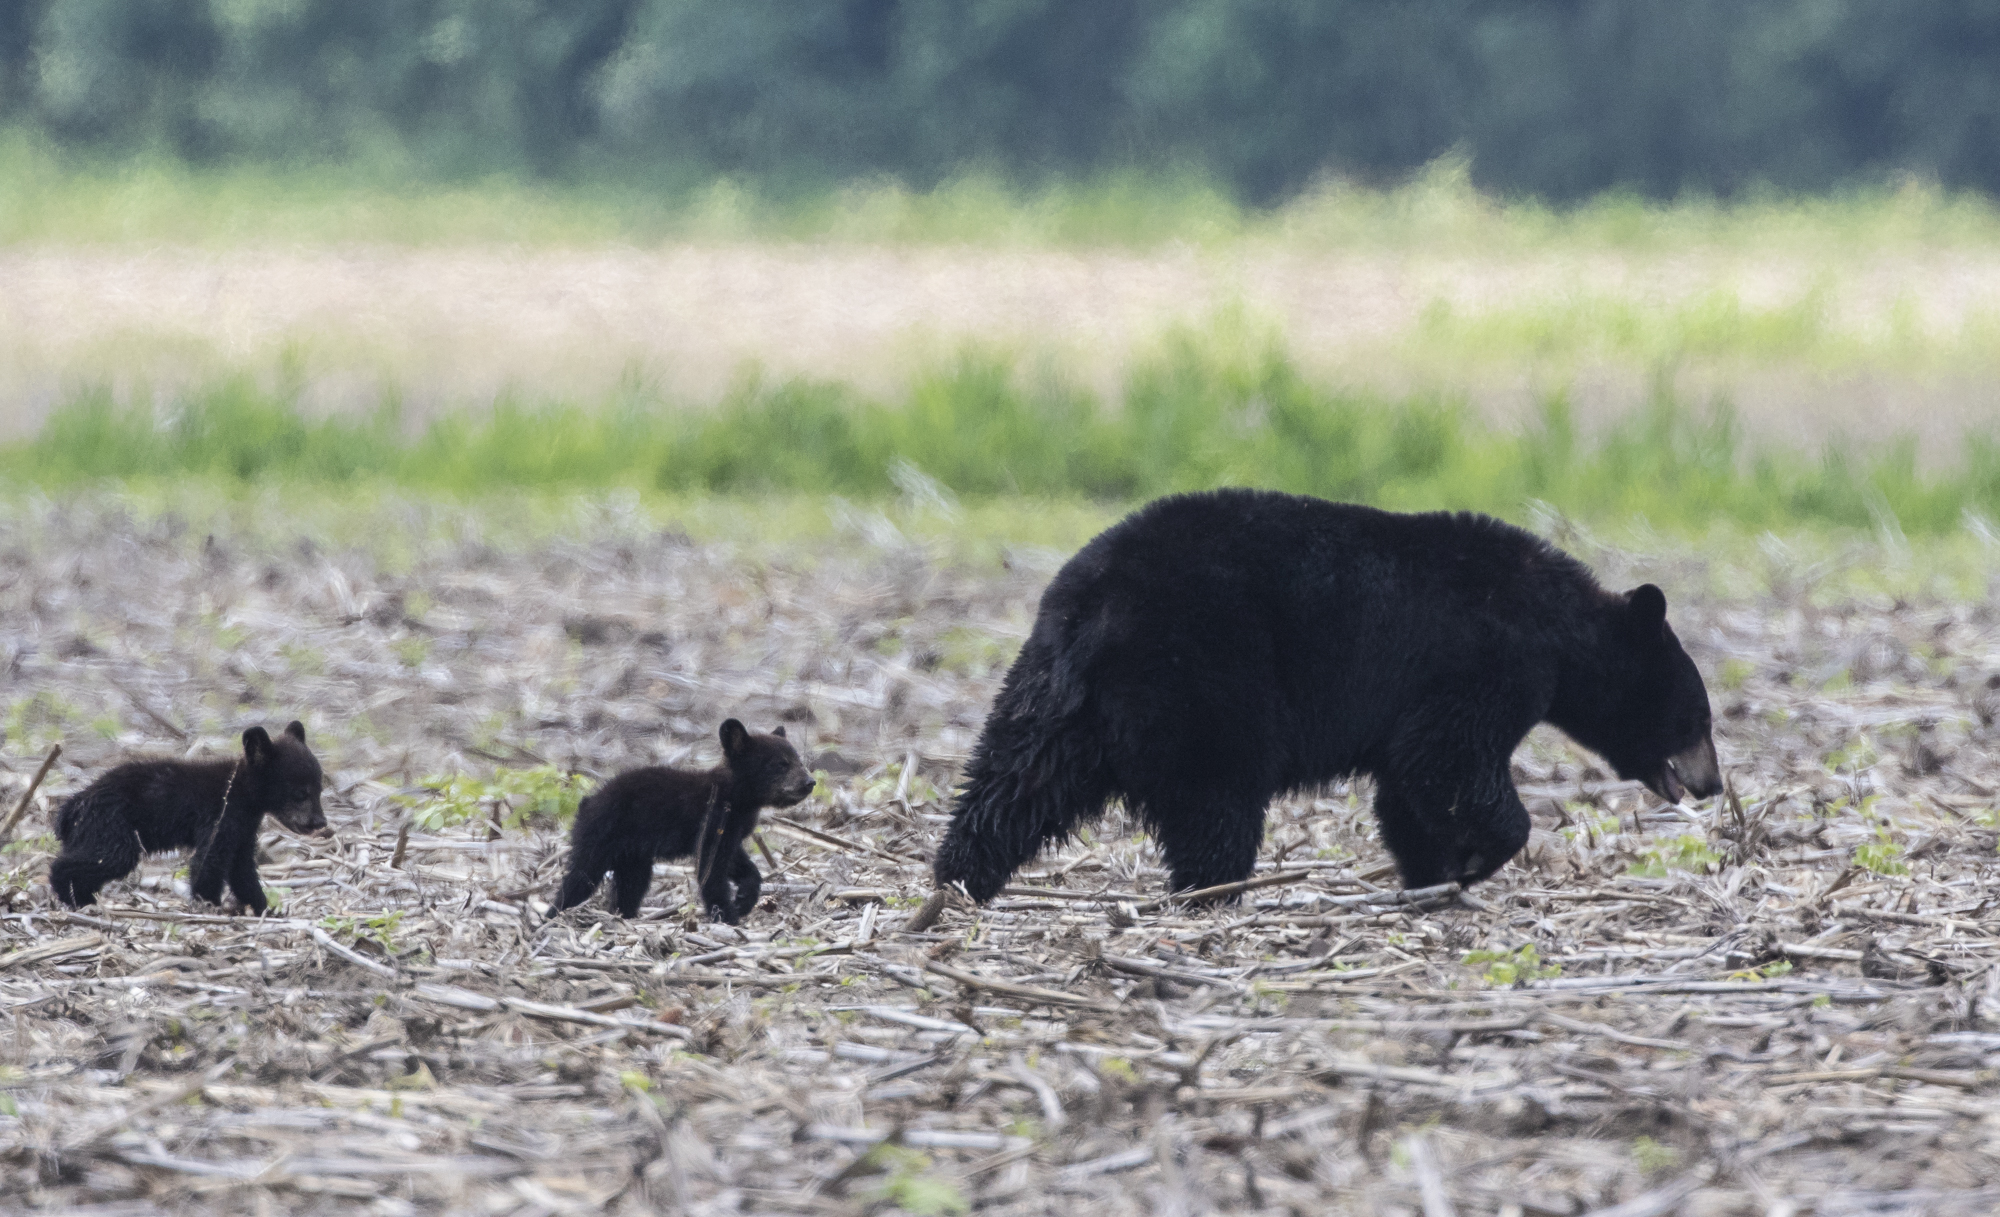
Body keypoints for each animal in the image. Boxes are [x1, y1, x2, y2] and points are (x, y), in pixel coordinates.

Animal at [50, 721, 329, 912]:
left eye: (319, 789)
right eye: (300, 793)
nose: (320, 823)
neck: (240, 791)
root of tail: (73, 805)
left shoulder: (243, 830)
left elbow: (243, 870)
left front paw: (264, 908)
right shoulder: (219, 816)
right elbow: (208, 860)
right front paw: (209, 904)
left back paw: (84, 899)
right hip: (111, 827)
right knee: (93, 860)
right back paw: (70, 895)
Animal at [553, 720, 816, 923]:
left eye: (799, 760)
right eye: (780, 764)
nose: (809, 782)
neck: (736, 796)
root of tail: (588, 801)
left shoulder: (731, 830)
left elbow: (736, 862)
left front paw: (744, 898)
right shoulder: (712, 819)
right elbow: (711, 869)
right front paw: (727, 916)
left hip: (632, 854)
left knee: (632, 883)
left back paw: (624, 915)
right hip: (600, 838)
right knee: (580, 877)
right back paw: (555, 914)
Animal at [933, 489, 1722, 904]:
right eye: (1698, 715)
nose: (1713, 784)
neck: (1558, 629)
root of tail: (1092, 609)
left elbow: (1408, 789)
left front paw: (1431, 877)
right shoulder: (1481, 663)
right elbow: (1446, 762)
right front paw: (1476, 859)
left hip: (1051, 697)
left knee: (1012, 782)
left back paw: (955, 880)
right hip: (1204, 682)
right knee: (1216, 800)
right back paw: (1213, 892)